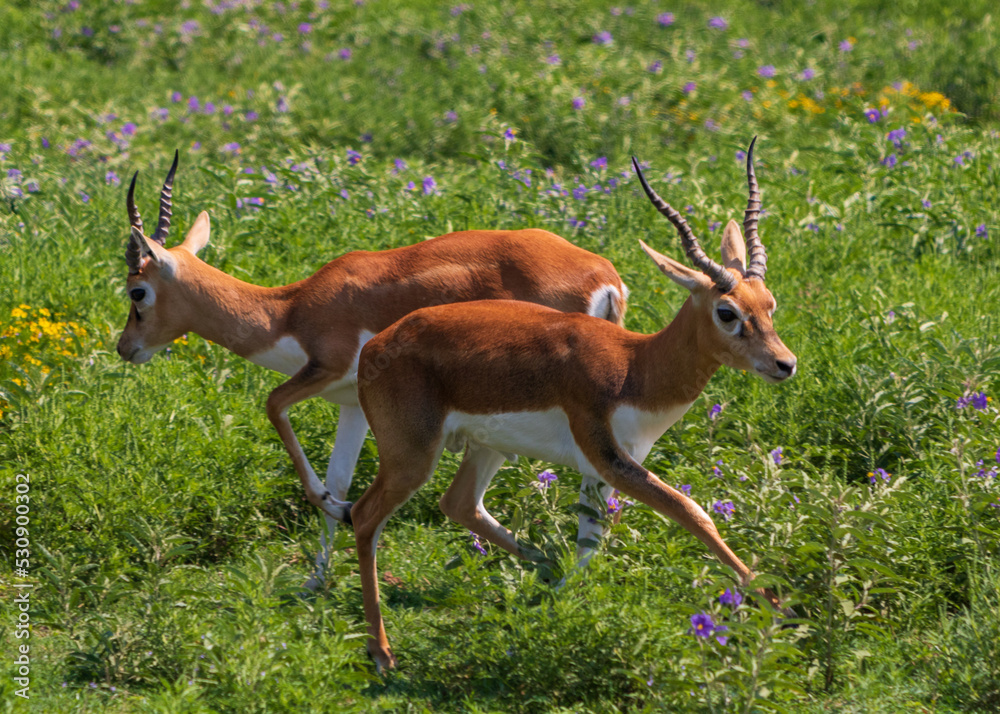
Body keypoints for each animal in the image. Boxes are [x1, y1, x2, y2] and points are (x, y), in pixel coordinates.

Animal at [116, 151, 629, 585]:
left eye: (136, 291)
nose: (125, 347)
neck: (289, 311)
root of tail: (603, 276)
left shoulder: (324, 370)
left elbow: (274, 407)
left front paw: (334, 509)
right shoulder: (351, 404)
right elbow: (339, 474)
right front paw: (316, 580)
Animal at [348, 139, 796, 670]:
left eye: (769, 303)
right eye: (727, 313)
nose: (785, 364)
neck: (635, 366)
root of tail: (376, 347)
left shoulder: (596, 470)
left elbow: (590, 543)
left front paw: (565, 606)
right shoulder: (610, 458)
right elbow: (691, 510)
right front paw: (777, 606)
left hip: (487, 448)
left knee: (458, 503)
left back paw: (543, 571)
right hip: (411, 456)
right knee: (364, 516)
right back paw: (381, 652)